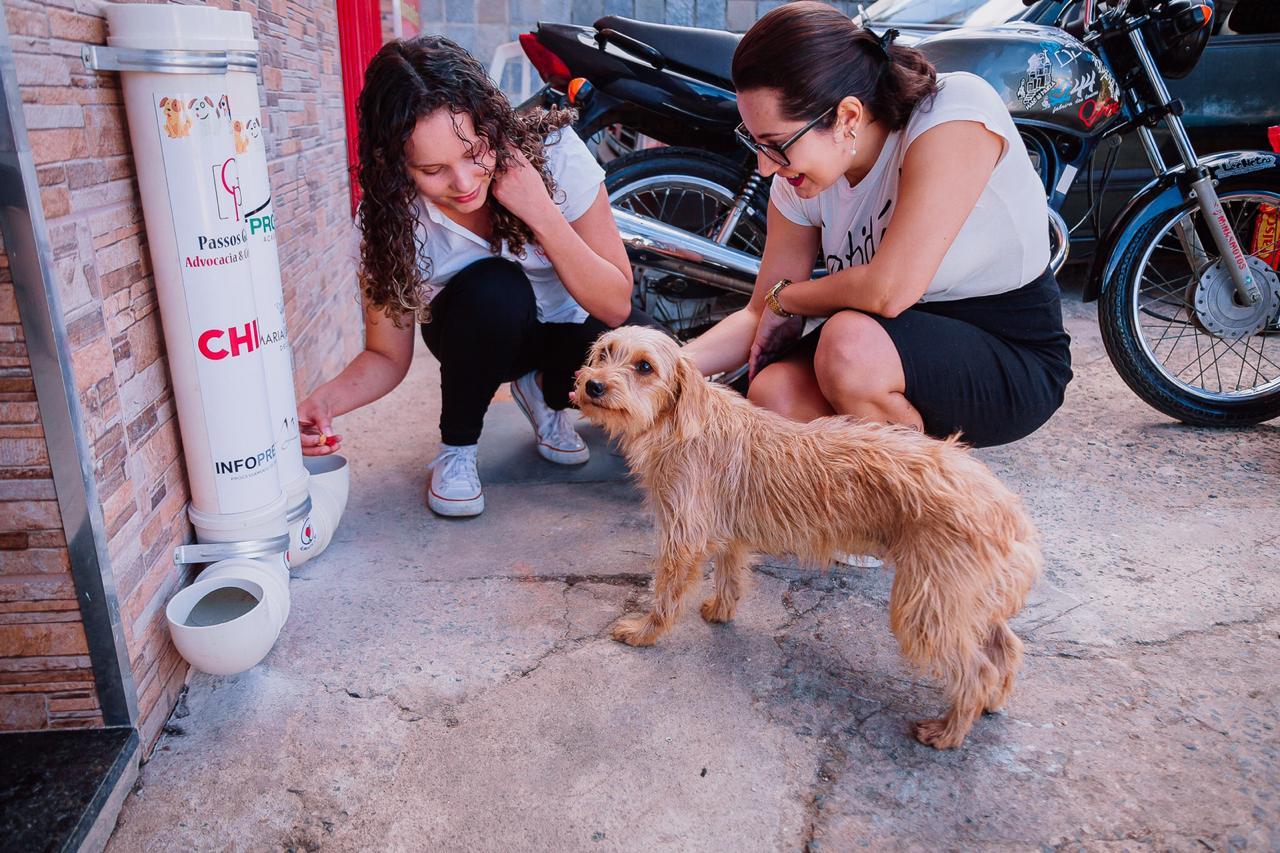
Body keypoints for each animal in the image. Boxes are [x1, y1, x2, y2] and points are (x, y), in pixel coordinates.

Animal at [576, 325, 1044, 742]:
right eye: (604, 353)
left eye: (644, 366)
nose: (592, 386)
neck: (683, 420)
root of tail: (1008, 508)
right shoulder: (729, 534)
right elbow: (730, 576)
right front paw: (720, 611)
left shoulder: (683, 538)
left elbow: (665, 593)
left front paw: (644, 632)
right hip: (960, 600)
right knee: (1006, 647)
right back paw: (992, 700)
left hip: (926, 609)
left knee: (976, 669)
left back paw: (950, 730)